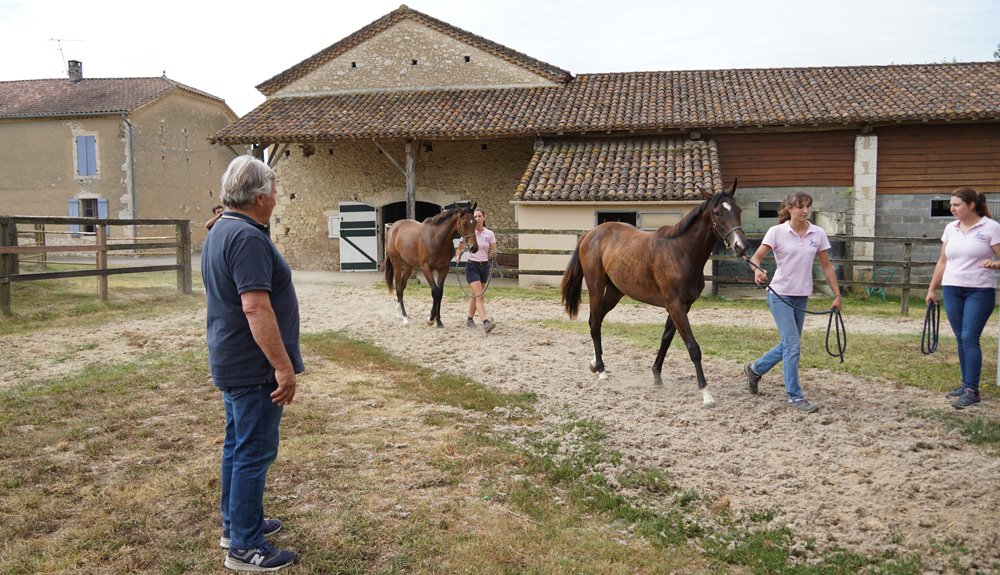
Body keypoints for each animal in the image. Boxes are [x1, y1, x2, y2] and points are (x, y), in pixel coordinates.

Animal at [560, 182, 748, 408]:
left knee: (594, 320)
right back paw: (602, 371)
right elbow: (693, 347)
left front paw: (656, 375)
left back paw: (594, 364)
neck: (681, 252)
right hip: (596, 287)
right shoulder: (675, 305)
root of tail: (591, 233)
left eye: (738, 210)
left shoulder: (682, 306)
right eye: (718, 212)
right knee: (595, 323)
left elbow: (666, 338)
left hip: (615, 292)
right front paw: (706, 393)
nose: (741, 246)